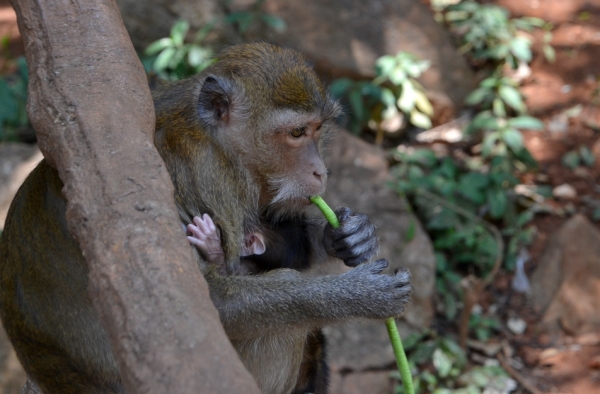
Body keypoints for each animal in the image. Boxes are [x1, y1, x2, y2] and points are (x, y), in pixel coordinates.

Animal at [0, 43, 412, 394]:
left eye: (318, 130)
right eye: (296, 133)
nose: (320, 171)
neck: (214, 141)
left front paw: (349, 236)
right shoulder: (199, 174)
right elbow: (208, 303)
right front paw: (356, 295)